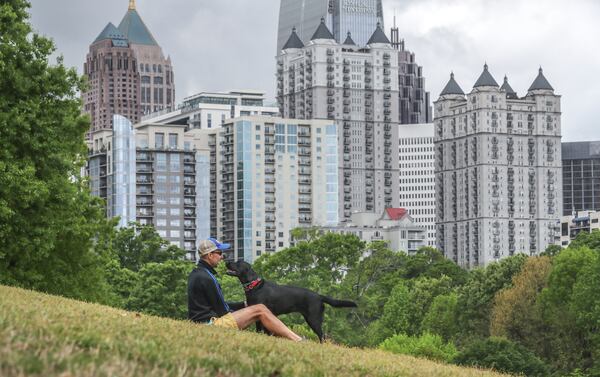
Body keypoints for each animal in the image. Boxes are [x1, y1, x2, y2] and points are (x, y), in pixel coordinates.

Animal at [225, 258, 356, 340]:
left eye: (238, 263)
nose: (227, 262)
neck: (254, 286)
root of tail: (319, 296)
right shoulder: (257, 314)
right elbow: (261, 331)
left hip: (314, 319)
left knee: (322, 336)